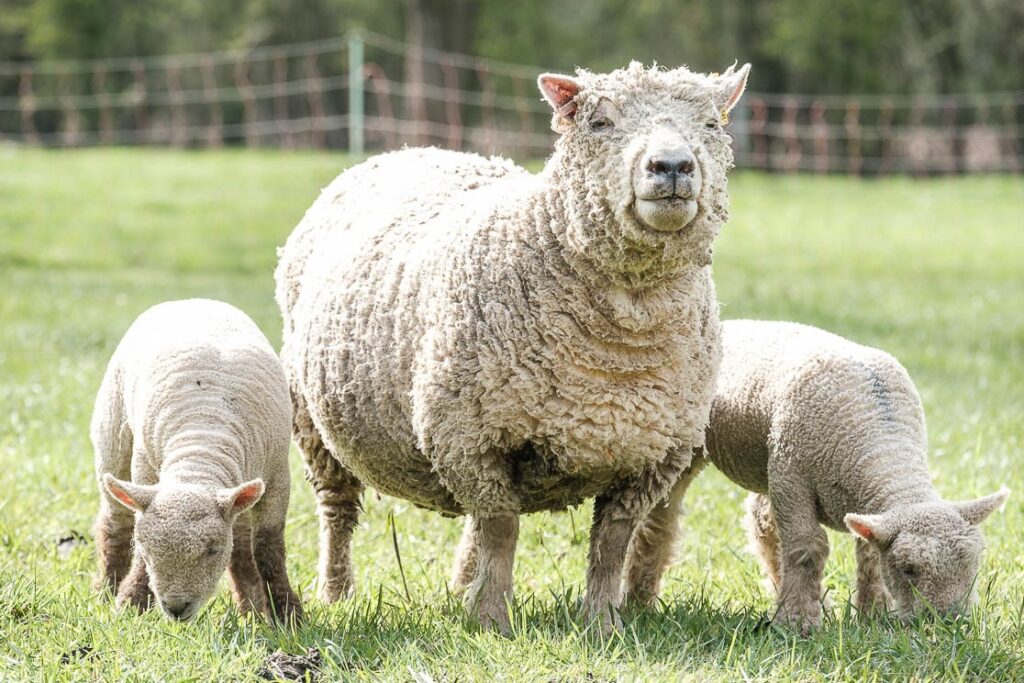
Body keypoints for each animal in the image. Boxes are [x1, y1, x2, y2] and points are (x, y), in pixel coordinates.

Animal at [91, 298, 302, 623]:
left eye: (213, 550)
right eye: (147, 549)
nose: (176, 607)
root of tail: (192, 301)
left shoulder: (278, 476)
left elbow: (268, 548)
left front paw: (288, 614)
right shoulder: (145, 466)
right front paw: (131, 602)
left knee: (242, 547)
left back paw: (251, 610)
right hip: (113, 435)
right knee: (115, 521)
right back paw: (107, 587)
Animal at [275, 61, 751, 631]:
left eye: (711, 124)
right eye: (600, 123)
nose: (673, 165)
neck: (618, 348)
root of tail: (410, 148)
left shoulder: (651, 453)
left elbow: (610, 543)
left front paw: (602, 623)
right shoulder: (467, 436)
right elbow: (502, 531)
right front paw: (491, 623)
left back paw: (461, 586)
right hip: (313, 420)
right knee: (339, 512)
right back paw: (336, 594)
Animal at [624, 319, 1009, 631]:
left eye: (973, 565)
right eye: (908, 568)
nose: (949, 624)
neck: (879, 436)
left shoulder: (859, 501)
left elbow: (868, 556)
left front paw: (873, 614)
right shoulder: (792, 477)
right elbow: (807, 549)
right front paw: (797, 623)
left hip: (769, 458)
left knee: (762, 522)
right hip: (695, 446)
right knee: (660, 522)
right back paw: (639, 600)